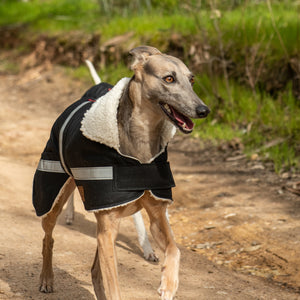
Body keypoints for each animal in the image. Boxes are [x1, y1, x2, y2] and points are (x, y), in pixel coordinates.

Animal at [32, 45, 210, 300]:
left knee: (94, 269)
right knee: (48, 237)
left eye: (191, 79)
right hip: (53, 197)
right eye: (169, 78)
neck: (140, 151)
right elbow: (114, 285)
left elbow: (174, 249)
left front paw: (168, 284)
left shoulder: (155, 215)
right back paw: (47, 278)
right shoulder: (107, 227)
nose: (203, 110)